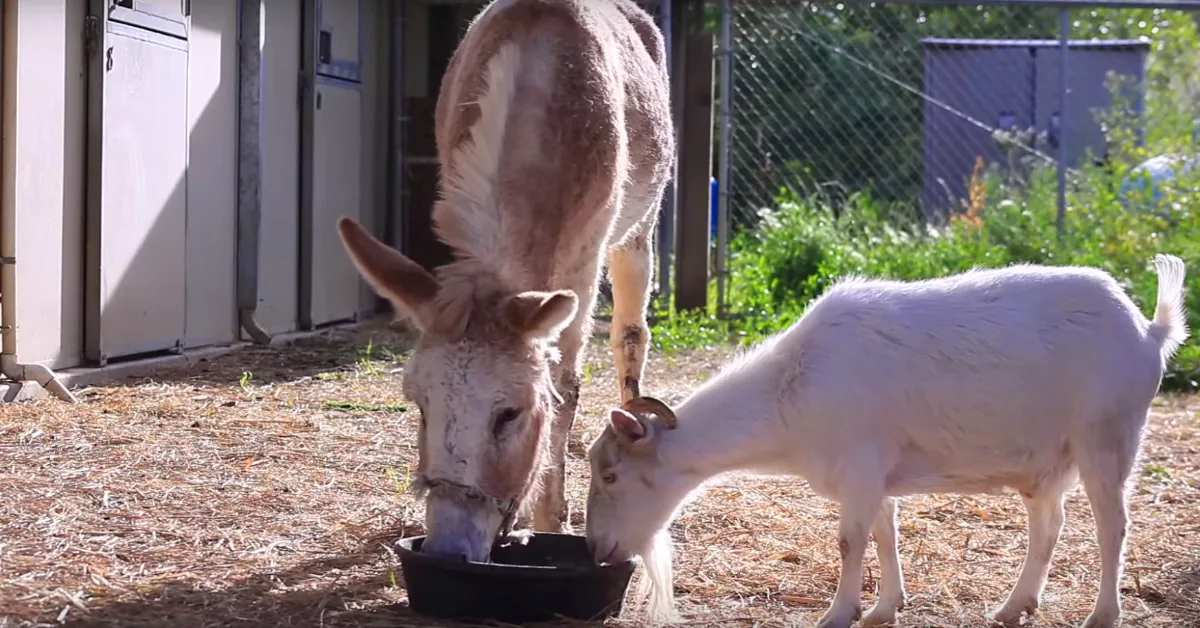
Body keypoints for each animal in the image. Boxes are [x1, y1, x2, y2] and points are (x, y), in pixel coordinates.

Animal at [585, 255, 1189, 628]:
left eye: (611, 474)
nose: (597, 549)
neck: (792, 386)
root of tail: (1149, 332)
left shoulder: (861, 464)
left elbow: (850, 541)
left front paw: (838, 613)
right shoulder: (875, 476)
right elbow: (884, 535)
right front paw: (883, 609)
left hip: (1106, 438)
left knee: (1113, 526)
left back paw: (1101, 614)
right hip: (1046, 462)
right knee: (1049, 526)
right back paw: (1013, 606)